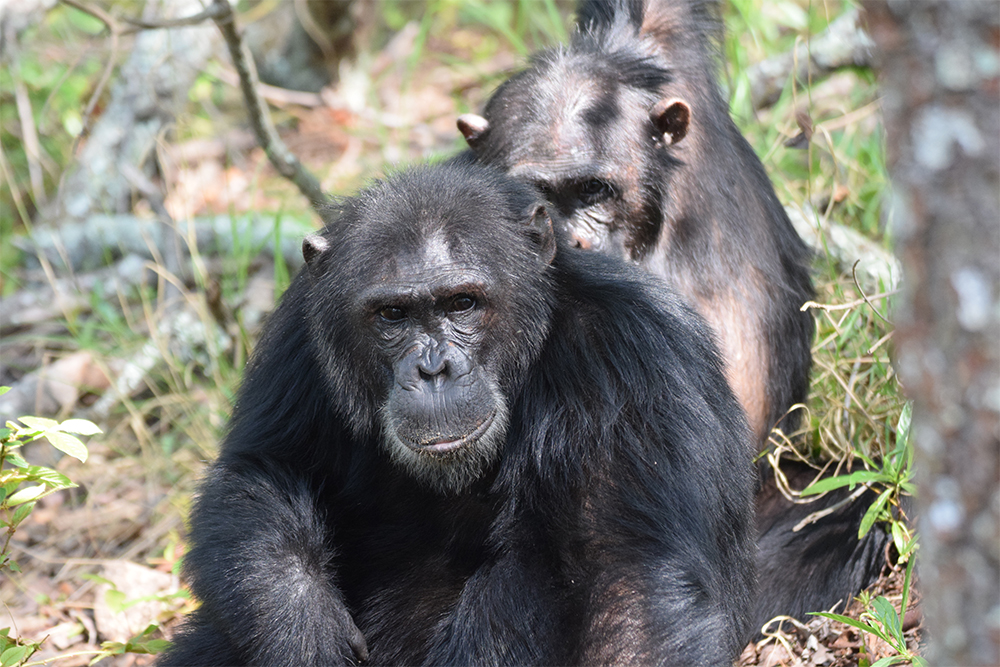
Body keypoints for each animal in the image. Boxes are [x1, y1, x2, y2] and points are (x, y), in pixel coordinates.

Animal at [156, 163, 752, 667]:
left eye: (462, 303)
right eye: (392, 314)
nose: (433, 368)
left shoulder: (634, 354)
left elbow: (627, 583)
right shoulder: (299, 328)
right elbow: (266, 466)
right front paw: (300, 629)